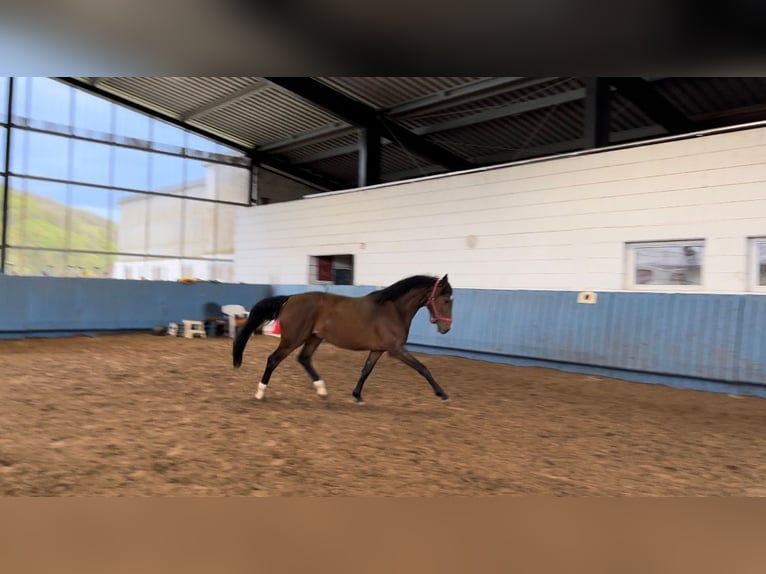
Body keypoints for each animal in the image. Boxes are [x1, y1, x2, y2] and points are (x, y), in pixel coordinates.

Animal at [232, 274, 454, 404]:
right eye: (445, 300)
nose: (446, 328)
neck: (393, 310)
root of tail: (291, 298)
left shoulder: (378, 349)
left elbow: (366, 370)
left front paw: (357, 395)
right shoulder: (396, 349)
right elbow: (422, 368)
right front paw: (442, 394)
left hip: (313, 338)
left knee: (304, 359)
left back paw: (322, 391)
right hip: (293, 339)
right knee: (273, 359)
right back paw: (260, 392)